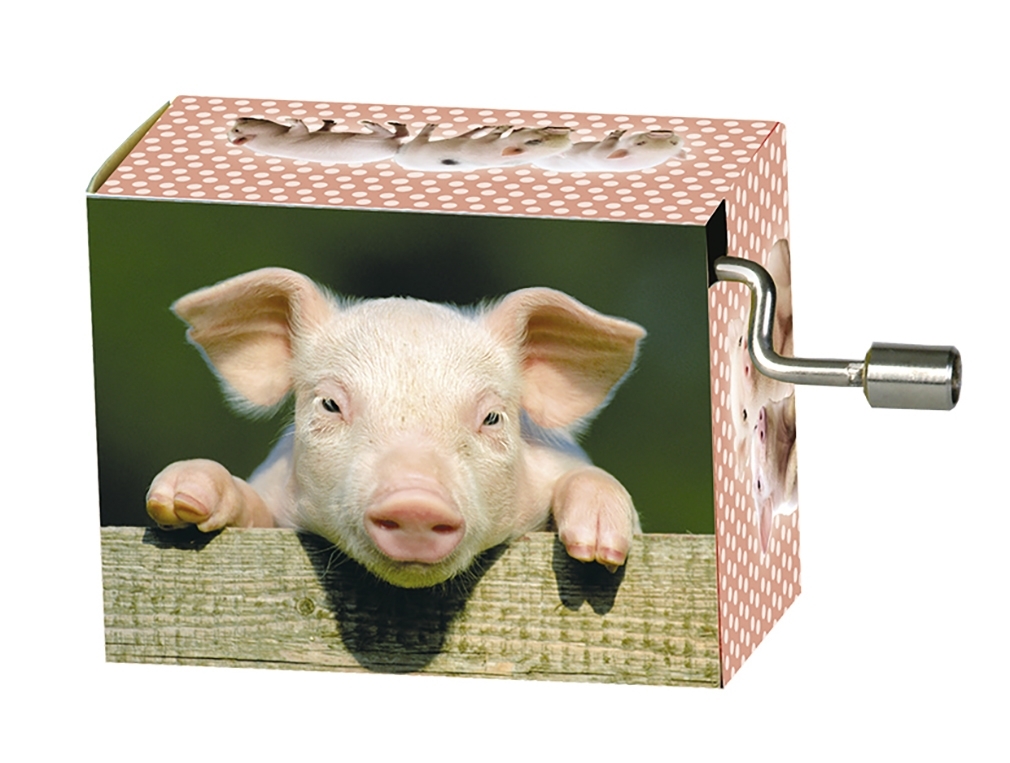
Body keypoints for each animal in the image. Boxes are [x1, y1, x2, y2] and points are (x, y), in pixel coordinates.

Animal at [228, 118, 409, 163]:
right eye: (236, 130)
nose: (239, 117)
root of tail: (396, 149)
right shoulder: (289, 137)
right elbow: (301, 129)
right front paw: (292, 119)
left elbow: (321, 129)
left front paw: (328, 122)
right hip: (364, 139)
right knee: (389, 134)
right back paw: (369, 124)